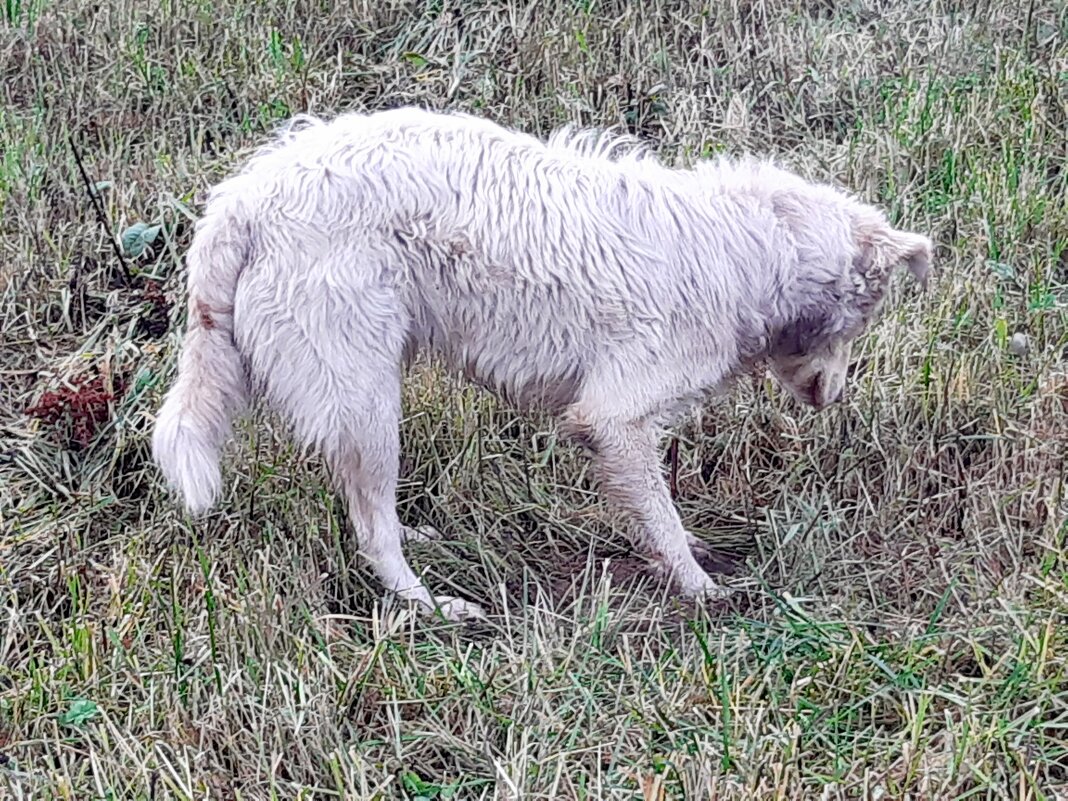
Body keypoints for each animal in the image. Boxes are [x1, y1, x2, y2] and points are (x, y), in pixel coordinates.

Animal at [152, 106, 935, 619]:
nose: (835, 397)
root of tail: (243, 199)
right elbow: (660, 517)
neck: (756, 247)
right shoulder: (613, 418)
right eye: (867, 317)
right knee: (373, 531)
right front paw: (697, 585)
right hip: (370, 400)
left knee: (369, 513)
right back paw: (430, 604)